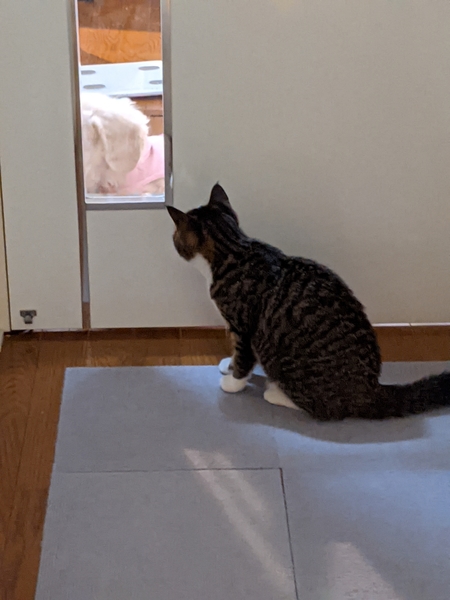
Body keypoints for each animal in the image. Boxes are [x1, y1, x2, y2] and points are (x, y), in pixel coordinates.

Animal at [167, 184, 450, 420]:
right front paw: (230, 364)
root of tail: (370, 390)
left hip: (282, 360)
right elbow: (237, 354)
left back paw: (275, 393)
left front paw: (233, 382)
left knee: (327, 411)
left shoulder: (243, 327)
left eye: (175, 238)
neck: (233, 251)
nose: (172, 242)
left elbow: (243, 357)